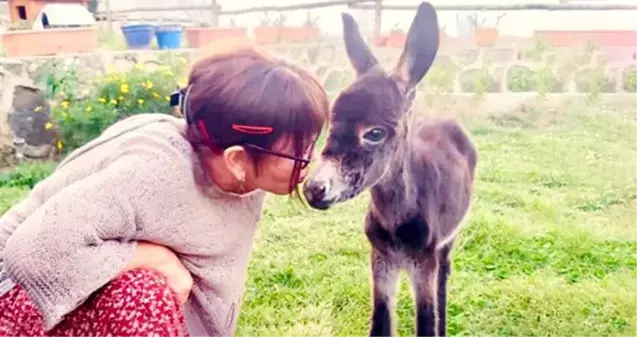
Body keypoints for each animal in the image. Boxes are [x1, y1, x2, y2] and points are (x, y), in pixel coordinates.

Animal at [304, 3, 476, 336]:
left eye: (374, 133)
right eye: (331, 123)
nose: (314, 189)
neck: (396, 218)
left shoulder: (423, 262)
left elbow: (427, 322)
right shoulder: (381, 259)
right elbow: (382, 322)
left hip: (448, 243)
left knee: (444, 282)